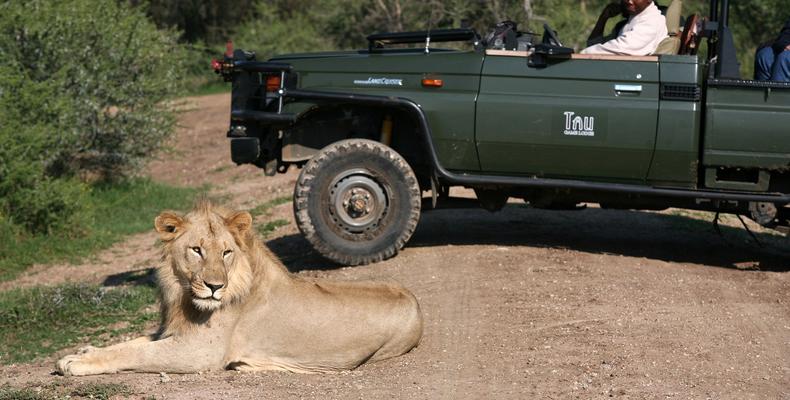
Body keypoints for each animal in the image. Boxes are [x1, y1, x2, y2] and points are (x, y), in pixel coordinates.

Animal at [55, 202, 424, 376]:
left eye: (226, 252)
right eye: (197, 250)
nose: (215, 287)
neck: (184, 297)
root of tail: (414, 300)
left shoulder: (199, 353)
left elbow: (139, 353)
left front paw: (77, 363)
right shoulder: (173, 332)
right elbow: (131, 343)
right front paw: (83, 351)